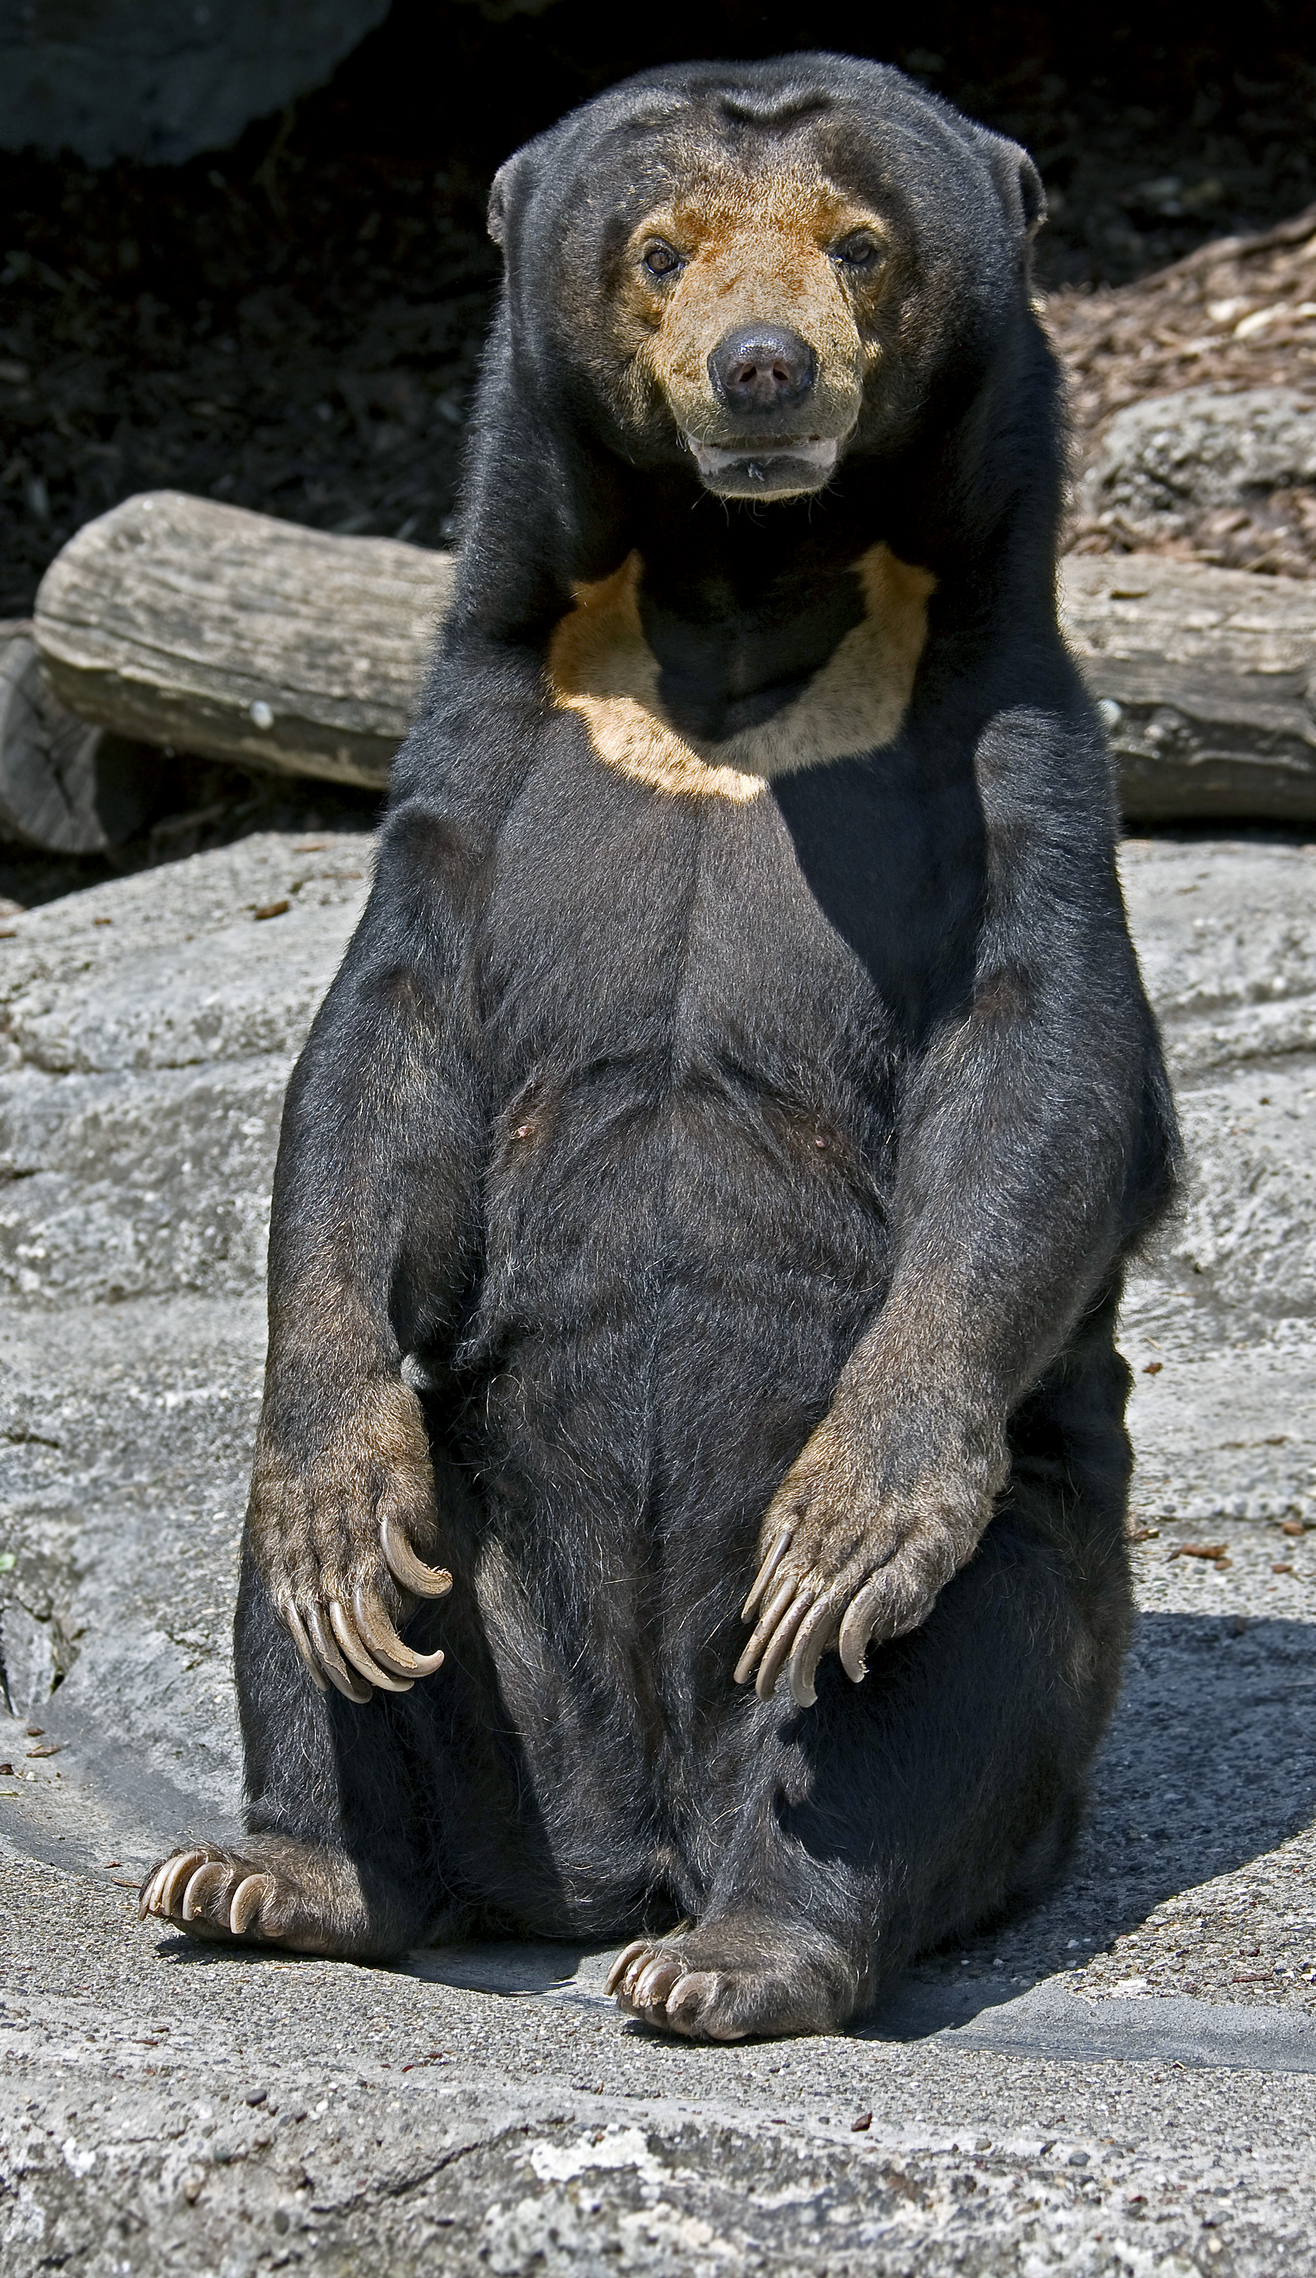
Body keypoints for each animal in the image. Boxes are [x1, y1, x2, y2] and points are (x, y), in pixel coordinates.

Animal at [139, 52, 1178, 2043]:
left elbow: (1046, 1065)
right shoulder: (489, 735)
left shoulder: (1008, 746)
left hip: (1021, 1542)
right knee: (320, 1591)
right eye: (662, 249)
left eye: (858, 243)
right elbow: (383, 1051)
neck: (743, 591)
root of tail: (617, 1832)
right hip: (480, 1533)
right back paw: (279, 1865)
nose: (762, 369)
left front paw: (861, 1510)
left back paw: (738, 1946)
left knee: (892, 1701)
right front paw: (334, 1513)